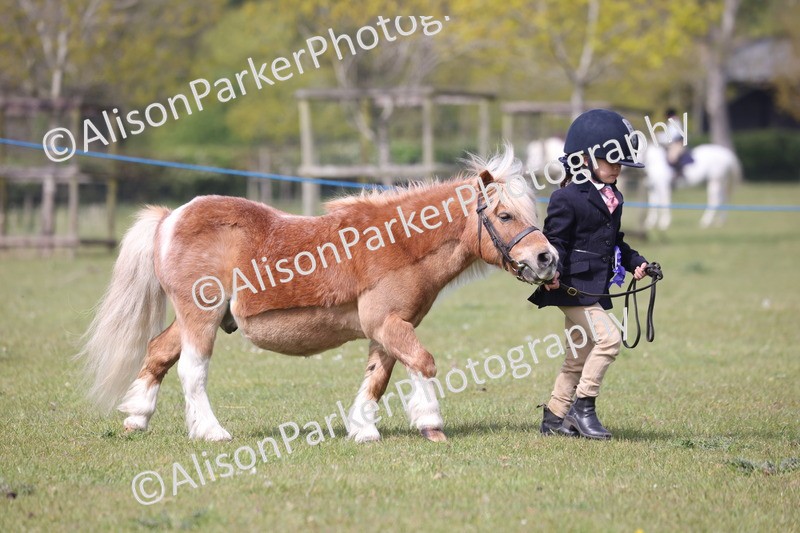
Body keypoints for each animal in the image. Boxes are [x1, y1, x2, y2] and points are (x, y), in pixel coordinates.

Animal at [77, 144, 558, 443]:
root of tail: (170, 218)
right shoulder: (388, 323)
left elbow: (377, 377)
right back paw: (211, 432)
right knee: (192, 373)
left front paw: (363, 429)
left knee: (158, 352)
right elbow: (422, 363)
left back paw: (137, 418)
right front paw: (431, 425)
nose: (546, 257)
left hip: (195, 318)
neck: (400, 243)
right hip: (201, 318)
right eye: (505, 215)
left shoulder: (388, 328)